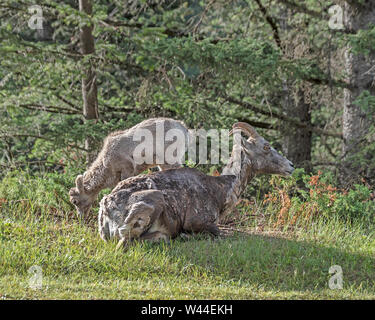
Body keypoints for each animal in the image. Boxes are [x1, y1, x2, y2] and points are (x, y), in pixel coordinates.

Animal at [98, 122, 296, 248]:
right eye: (266, 147)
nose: (291, 166)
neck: (220, 189)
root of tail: (106, 208)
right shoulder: (199, 221)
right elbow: (218, 233)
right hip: (150, 202)